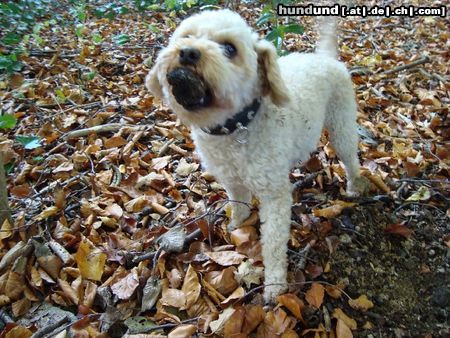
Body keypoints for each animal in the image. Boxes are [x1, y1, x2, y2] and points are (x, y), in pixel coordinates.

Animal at [146, 9, 368, 302]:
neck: (237, 125)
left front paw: (274, 285)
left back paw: (354, 187)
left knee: (351, 158)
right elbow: (238, 204)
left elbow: (273, 243)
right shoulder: (231, 180)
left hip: (341, 125)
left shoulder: (274, 195)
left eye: (230, 48)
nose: (188, 52)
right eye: (186, 36)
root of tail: (325, 58)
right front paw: (235, 226)